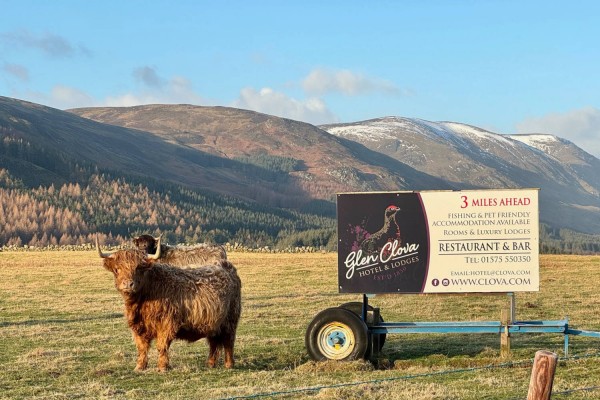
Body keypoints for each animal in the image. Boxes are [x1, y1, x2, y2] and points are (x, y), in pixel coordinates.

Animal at [97, 238, 240, 372]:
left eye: (138, 268)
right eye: (117, 269)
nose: (128, 284)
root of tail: (225, 265)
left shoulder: (167, 323)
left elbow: (162, 346)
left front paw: (162, 367)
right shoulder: (138, 326)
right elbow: (142, 347)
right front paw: (140, 366)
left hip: (230, 320)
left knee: (228, 341)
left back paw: (229, 364)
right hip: (213, 323)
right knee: (214, 342)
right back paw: (210, 364)